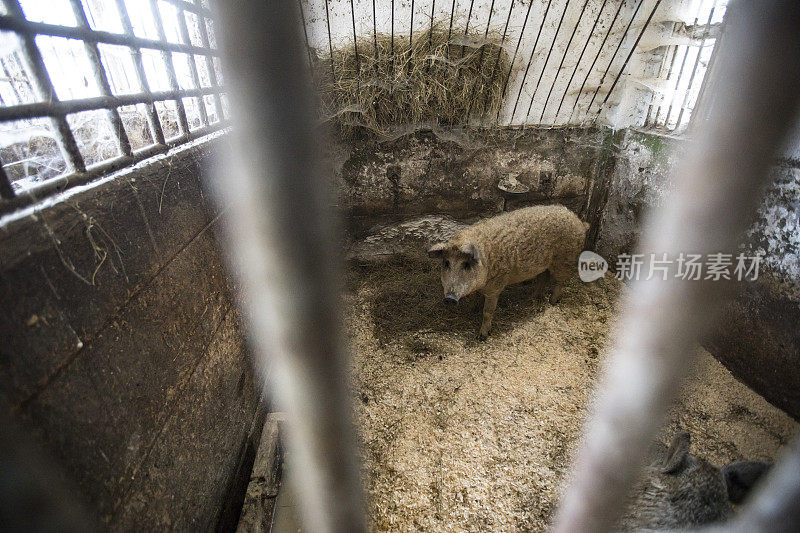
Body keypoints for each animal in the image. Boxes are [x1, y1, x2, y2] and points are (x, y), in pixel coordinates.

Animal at [428, 206, 592, 338]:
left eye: (466, 264)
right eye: (446, 263)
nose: (449, 298)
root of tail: (580, 222)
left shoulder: (496, 287)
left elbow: (488, 311)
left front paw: (482, 336)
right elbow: (475, 298)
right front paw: (471, 310)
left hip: (564, 260)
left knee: (559, 281)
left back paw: (552, 302)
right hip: (546, 264)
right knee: (543, 277)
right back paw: (534, 297)